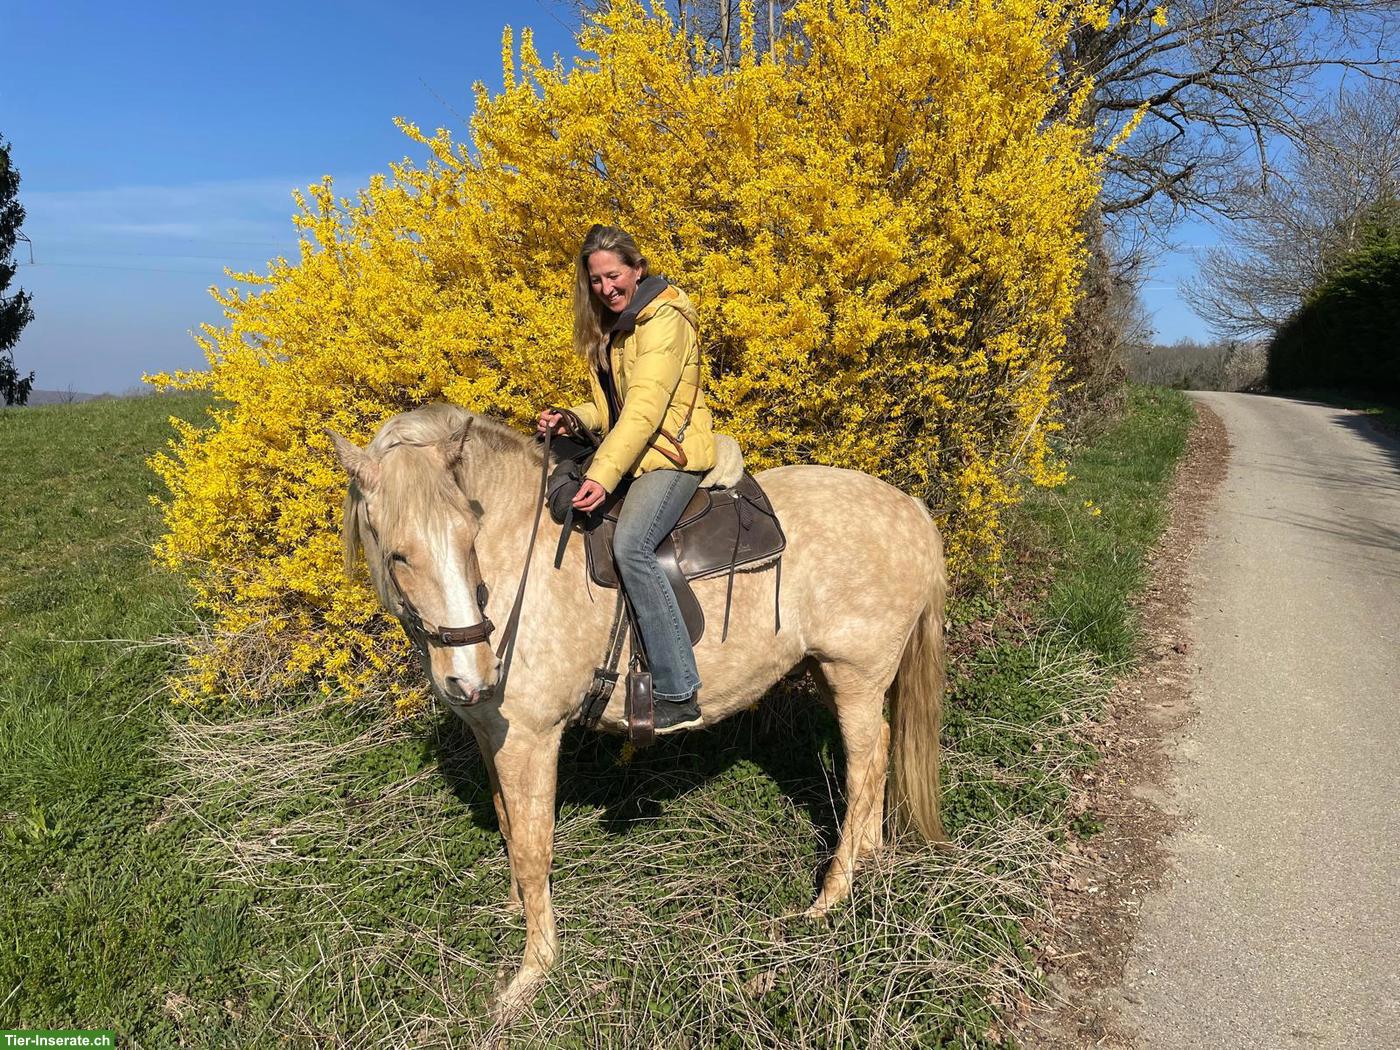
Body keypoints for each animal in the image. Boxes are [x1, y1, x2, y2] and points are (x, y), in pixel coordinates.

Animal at [329, 402, 947, 1018]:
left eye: (468, 536)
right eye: (398, 554)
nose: (472, 675)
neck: (515, 563)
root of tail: (911, 510)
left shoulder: (531, 738)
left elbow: (532, 847)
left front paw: (533, 972)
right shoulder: (490, 734)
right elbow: (508, 824)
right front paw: (515, 907)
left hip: (855, 676)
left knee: (864, 768)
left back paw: (832, 895)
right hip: (834, 673)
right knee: (877, 755)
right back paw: (868, 860)